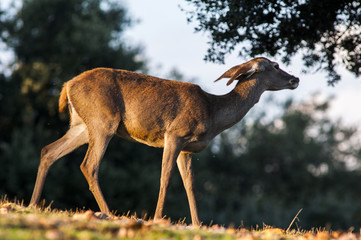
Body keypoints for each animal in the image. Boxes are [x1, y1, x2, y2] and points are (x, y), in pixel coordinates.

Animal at [28, 57, 298, 226]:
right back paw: (108, 213)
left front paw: (198, 223)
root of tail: (67, 85)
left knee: (48, 150)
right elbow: (166, 177)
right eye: (275, 65)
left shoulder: (187, 150)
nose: (295, 79)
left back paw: (32, 205)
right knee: (89, 165)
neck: (213, 113)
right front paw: (158, 217)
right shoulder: (174, 134)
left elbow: (190, 184)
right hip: (103, 120)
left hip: (82, 125)